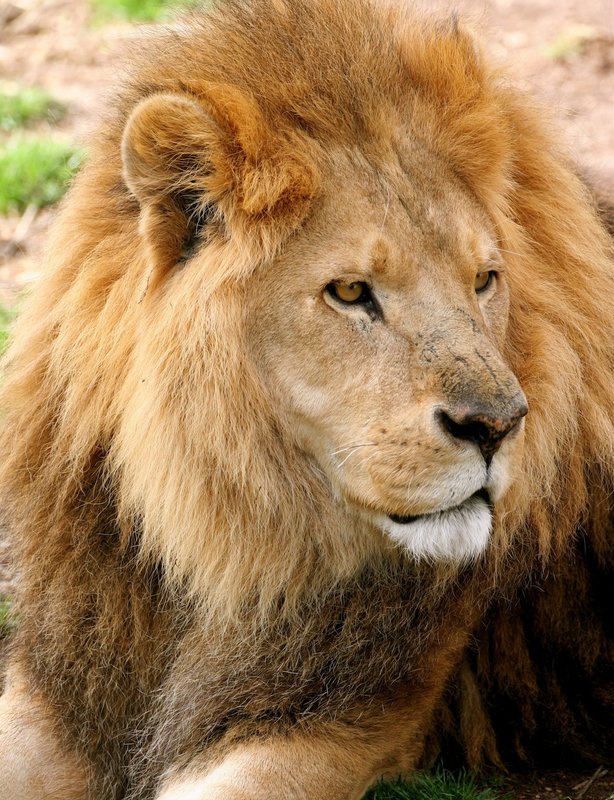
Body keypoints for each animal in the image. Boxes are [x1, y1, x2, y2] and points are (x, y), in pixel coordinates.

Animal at [0, 0, 613, 797]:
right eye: (350, 292)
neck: (209, 543)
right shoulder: (67, 689)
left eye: (484, 280)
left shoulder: (327, 725)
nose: (498, 426)